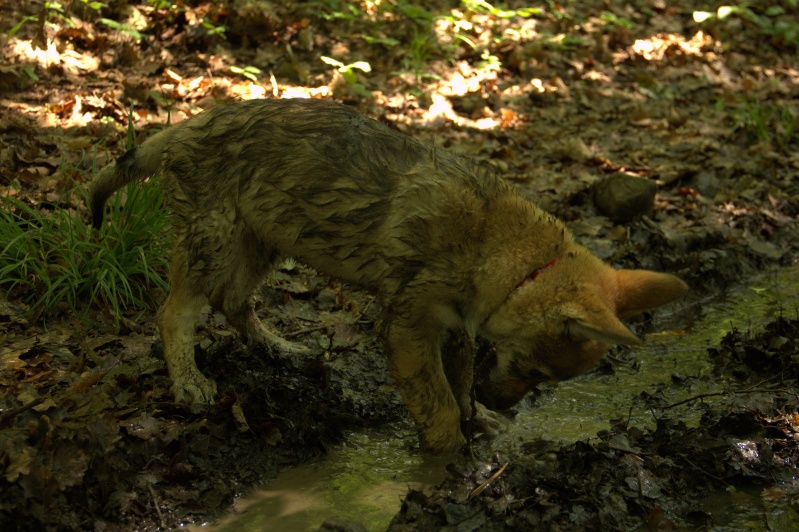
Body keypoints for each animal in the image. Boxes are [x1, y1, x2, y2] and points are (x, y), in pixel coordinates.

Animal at [89, 97, 688, 450]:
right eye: (535, 369)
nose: (504, 405)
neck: (499, 249)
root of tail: (184, 126)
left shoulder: (456, 328)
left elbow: (459, 386)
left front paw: (479, 421)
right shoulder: (408, 327)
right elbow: (439, 408)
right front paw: (451, 463)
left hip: (267, 237)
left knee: (233, 301)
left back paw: (281, 349)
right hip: (216, 241)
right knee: (175, 313)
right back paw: (190, 382)